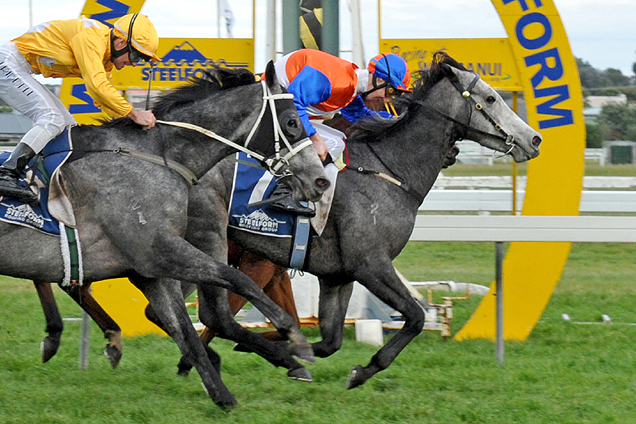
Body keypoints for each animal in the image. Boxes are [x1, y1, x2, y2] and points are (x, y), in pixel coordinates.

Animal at [0, 63, 328, 408]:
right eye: (292, 122)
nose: (319, 180)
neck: (159, 157)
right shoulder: (158, 251)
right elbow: (237, 282)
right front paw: (294, 340)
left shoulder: (152, 269)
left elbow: (184, 328)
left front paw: (223, 395)